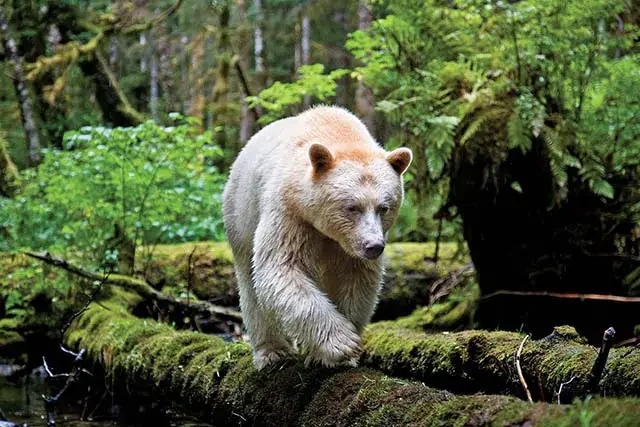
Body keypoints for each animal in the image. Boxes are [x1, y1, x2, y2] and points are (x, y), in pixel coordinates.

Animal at [222, 105, 412, 370]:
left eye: (384, 207)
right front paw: (342, 343)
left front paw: (336, 354)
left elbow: (356, 279)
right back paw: (272, 351)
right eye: (352, 207)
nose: (373, 246)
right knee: (251, 285)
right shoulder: (290, 213)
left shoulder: (348, 246)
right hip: (241, 215)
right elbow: (282, 267)